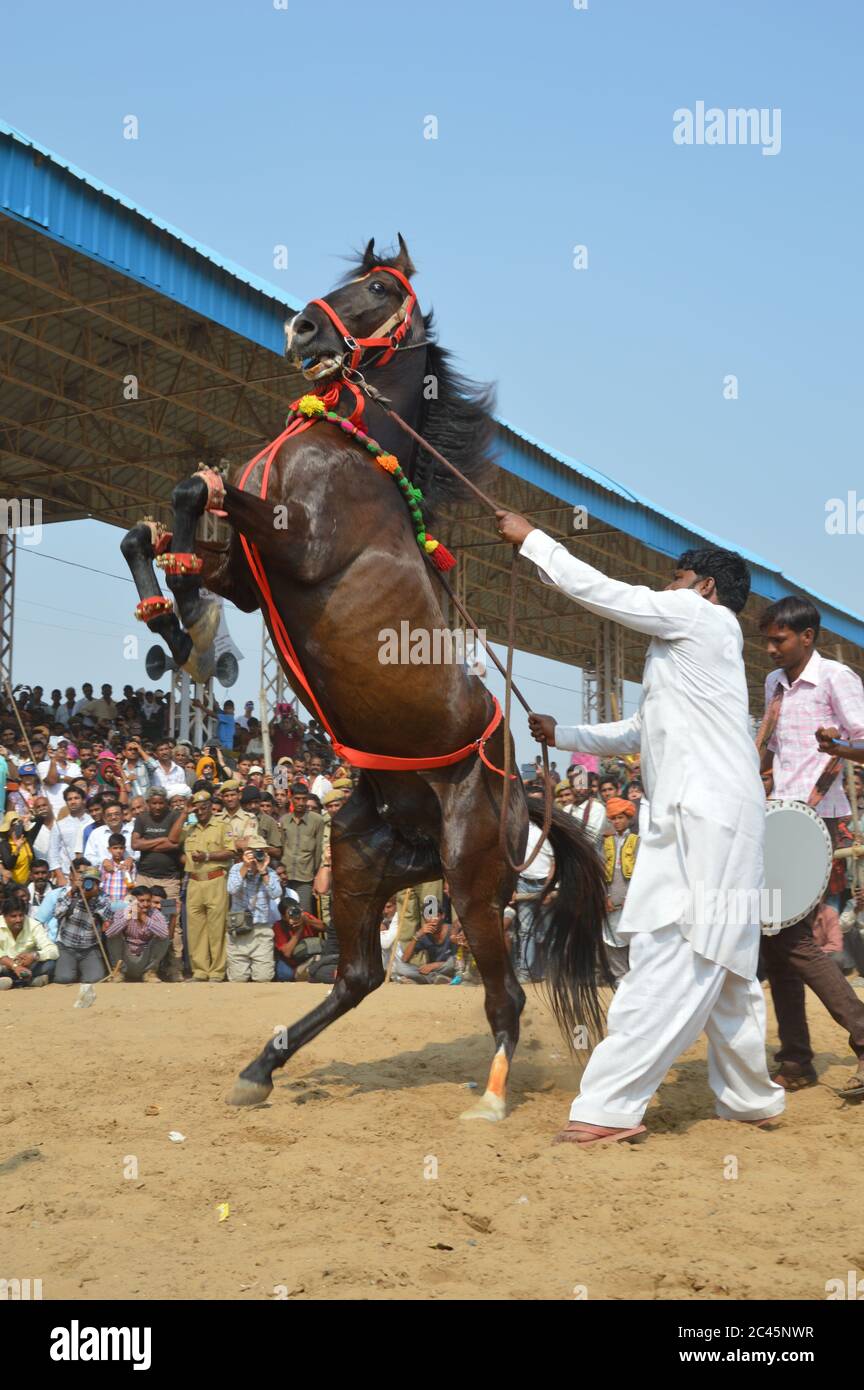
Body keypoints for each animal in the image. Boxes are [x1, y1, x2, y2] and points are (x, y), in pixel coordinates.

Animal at [120, 230, 608, 1117]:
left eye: (379, 288)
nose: (301, 329)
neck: (347, 453)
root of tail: (525, 799)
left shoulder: (296, 546)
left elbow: (195, 493)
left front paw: (179, 618)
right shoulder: (252, 577)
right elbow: (158, 527)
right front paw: (171, 615)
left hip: (471, 881)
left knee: (504, 994)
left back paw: (492, 1097)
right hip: (357, 863)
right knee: (356, 976)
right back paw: (261, 1066)